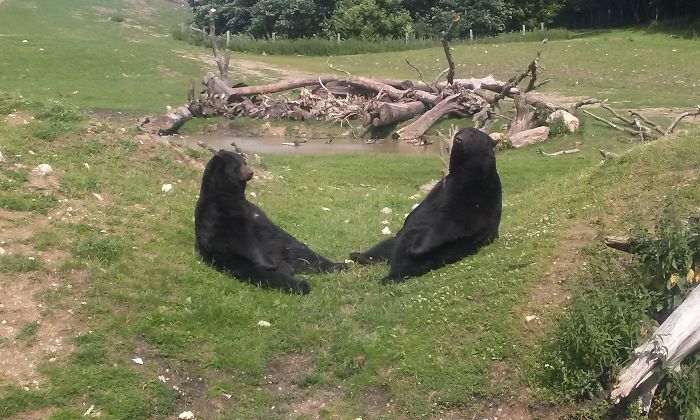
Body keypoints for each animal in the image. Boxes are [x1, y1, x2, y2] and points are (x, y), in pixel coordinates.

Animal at [195, 150, 346, 294]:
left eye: (244, 161)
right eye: (238, 165)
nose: (251, 172)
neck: (229, 194)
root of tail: (290, 266)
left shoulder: (254, 212)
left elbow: (272, 228)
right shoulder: (218, 212)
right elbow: (238, 237)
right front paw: (269, 263)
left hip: (288, 251)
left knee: (312, 258)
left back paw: (340, 265)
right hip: (240, 263)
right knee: (268, 276)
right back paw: (301, 284)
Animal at [349, 127, 502, 282]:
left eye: (473, 134)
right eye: (460, 132)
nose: (458, 139)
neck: (465, 173)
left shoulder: (475, 193)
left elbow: (454, 221)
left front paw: (417, 248)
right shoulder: (442, 187)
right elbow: (420, 210)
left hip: (446, 250)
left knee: (409, 259)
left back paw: (391, 276)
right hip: (392, 244)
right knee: (384, 246)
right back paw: (360, 256)